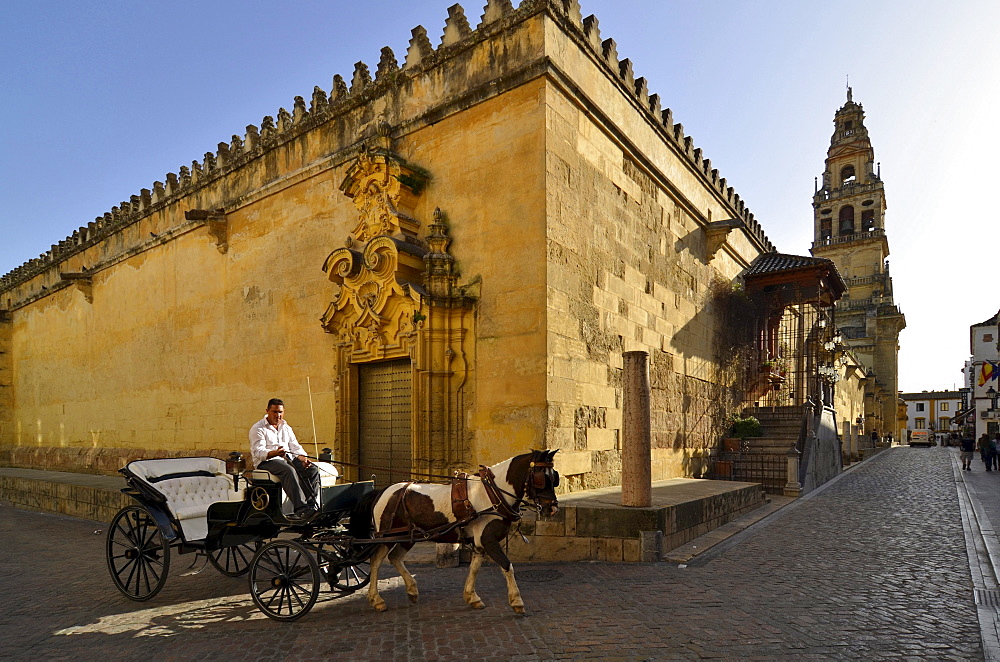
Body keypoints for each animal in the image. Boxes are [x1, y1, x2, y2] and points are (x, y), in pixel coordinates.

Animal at [350, 448, 556, 616]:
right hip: (387, 536)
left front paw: (472, 597)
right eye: (542, 478)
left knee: (395, 558)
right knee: (376, 561)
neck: (493, 493)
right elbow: (507, 565)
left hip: (408, 536)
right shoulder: (488, 540)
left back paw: (412, 590)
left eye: (555, 477)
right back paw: (377, 600)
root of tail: (382, 491)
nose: (552, 508)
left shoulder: (479, 543)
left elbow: (474, 568)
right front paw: (517, 601)